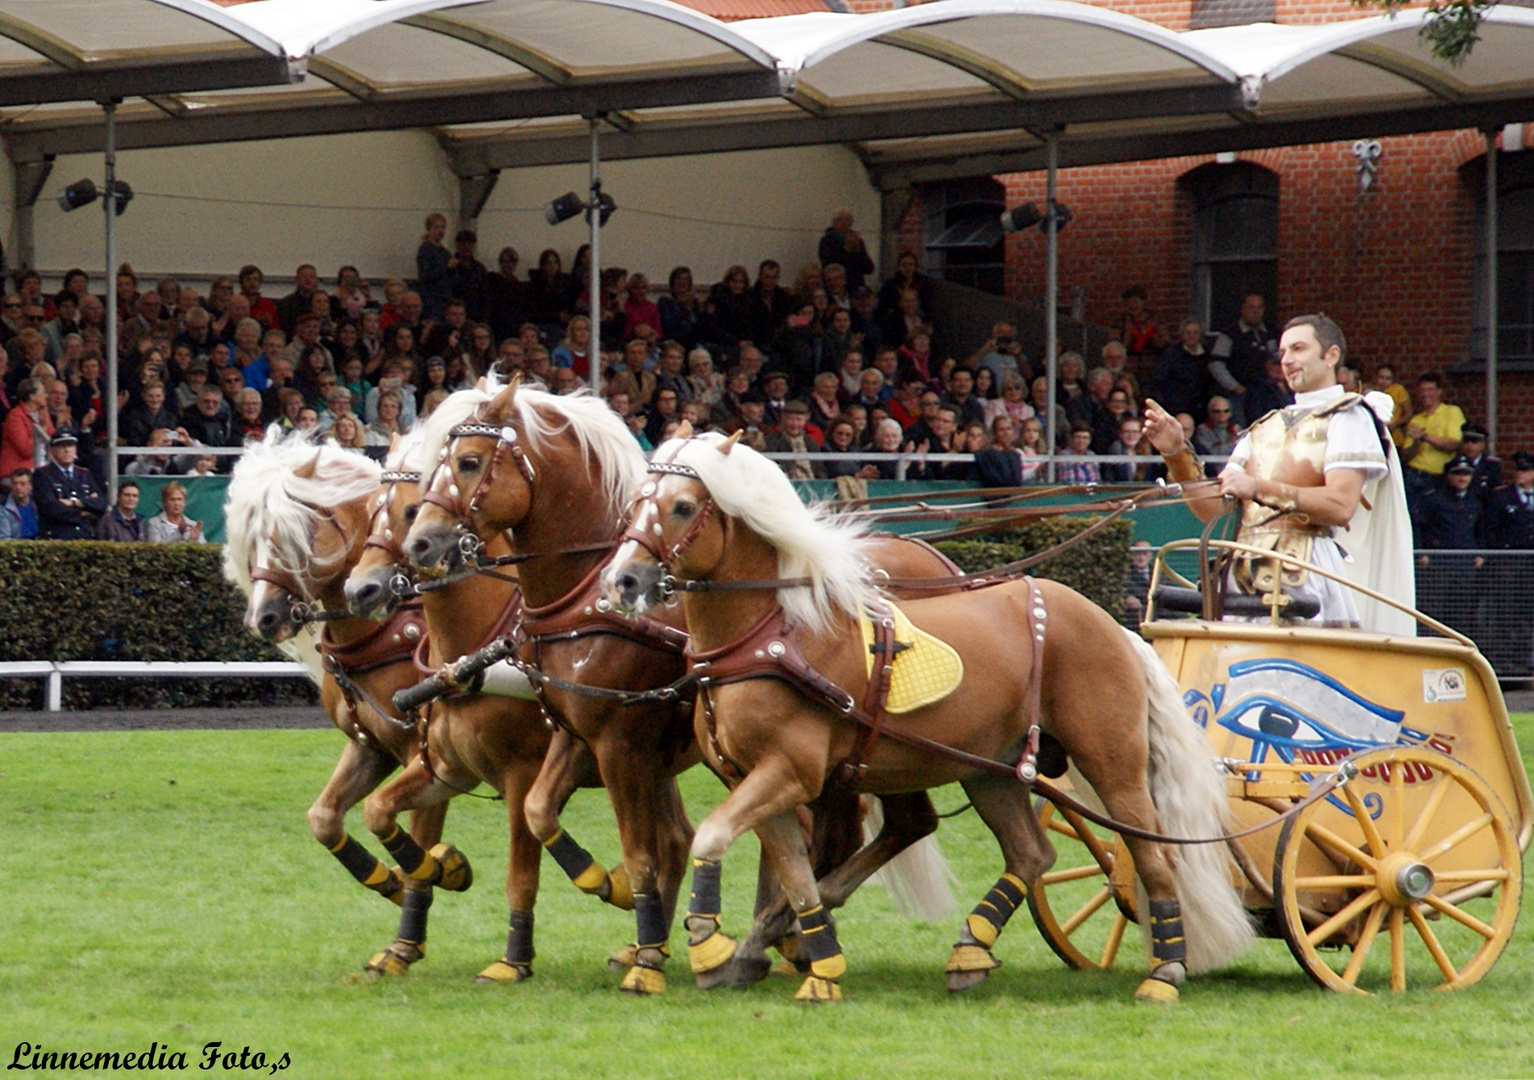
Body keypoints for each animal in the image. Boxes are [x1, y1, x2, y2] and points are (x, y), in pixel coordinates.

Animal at [223, 438, 469, 981]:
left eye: (294, 534)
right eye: (254, 540)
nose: (262, 618)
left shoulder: (431, 758)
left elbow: (416, 837)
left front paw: (418, 914)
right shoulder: (370, 746)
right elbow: (324, 818)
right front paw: (389, 881)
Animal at [346, 429, 616, 981]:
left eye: (410, 511)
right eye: (370, 511)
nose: (359, 589)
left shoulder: (522, 775)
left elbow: (522, 873)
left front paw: (514, 958)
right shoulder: (446, 766)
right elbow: (380, 810)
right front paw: (440, 870)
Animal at [404, 383, 957, 994]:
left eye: (467, 461)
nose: (419, 544)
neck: (585, 602)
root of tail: (932, 554)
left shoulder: (620, 745)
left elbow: (642, 852)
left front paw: (646, 953)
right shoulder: (577, 734)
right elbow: (540, 811)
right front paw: (610, 890)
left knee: (856, 830)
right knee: (855, 830)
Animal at [592, 429, 1251, 1006]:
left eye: (681, 507)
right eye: (635, 501)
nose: (622, 579)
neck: (771, 635)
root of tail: (1114, 625)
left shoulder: (791, 772)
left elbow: (714, 836)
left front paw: (709, 943)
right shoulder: (753, 778)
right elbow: (789, 871)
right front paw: (808, 962)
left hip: (1112, 764)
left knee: (1151, 855)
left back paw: (1165, 970)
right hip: (990, 768)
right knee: (1032, 854)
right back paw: (969, 950)